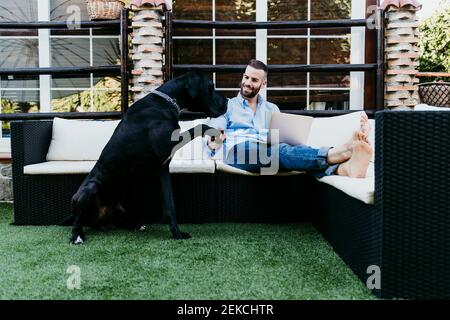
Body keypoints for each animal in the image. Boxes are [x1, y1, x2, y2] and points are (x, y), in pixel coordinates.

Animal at [70, 71, 227, 244]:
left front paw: (176, 233)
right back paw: (77, 235)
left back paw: (130, 225)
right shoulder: (166, 146)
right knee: (78, 218)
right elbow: (199, 126)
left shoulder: (163, 167)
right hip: (88, 190)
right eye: (210, 87)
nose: (227, 101)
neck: (166, 102)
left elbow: (169, 204)